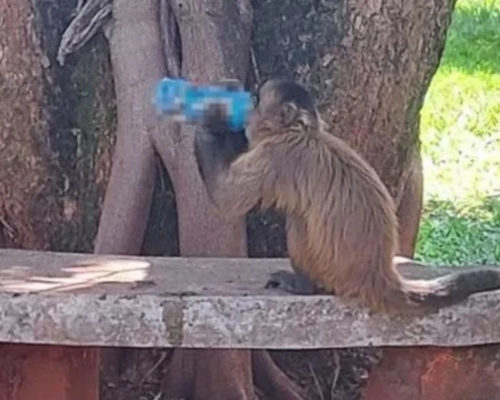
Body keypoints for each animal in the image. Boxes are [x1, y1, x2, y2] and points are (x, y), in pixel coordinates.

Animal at [192, 79, 500, 316]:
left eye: (257, 101)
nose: (246, 110)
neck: (305, 133)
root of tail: (379, 274)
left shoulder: (278, 154)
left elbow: (227, 198)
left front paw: (211, 118)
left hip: (332, 271)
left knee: (298, 218)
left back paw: (305, 286)